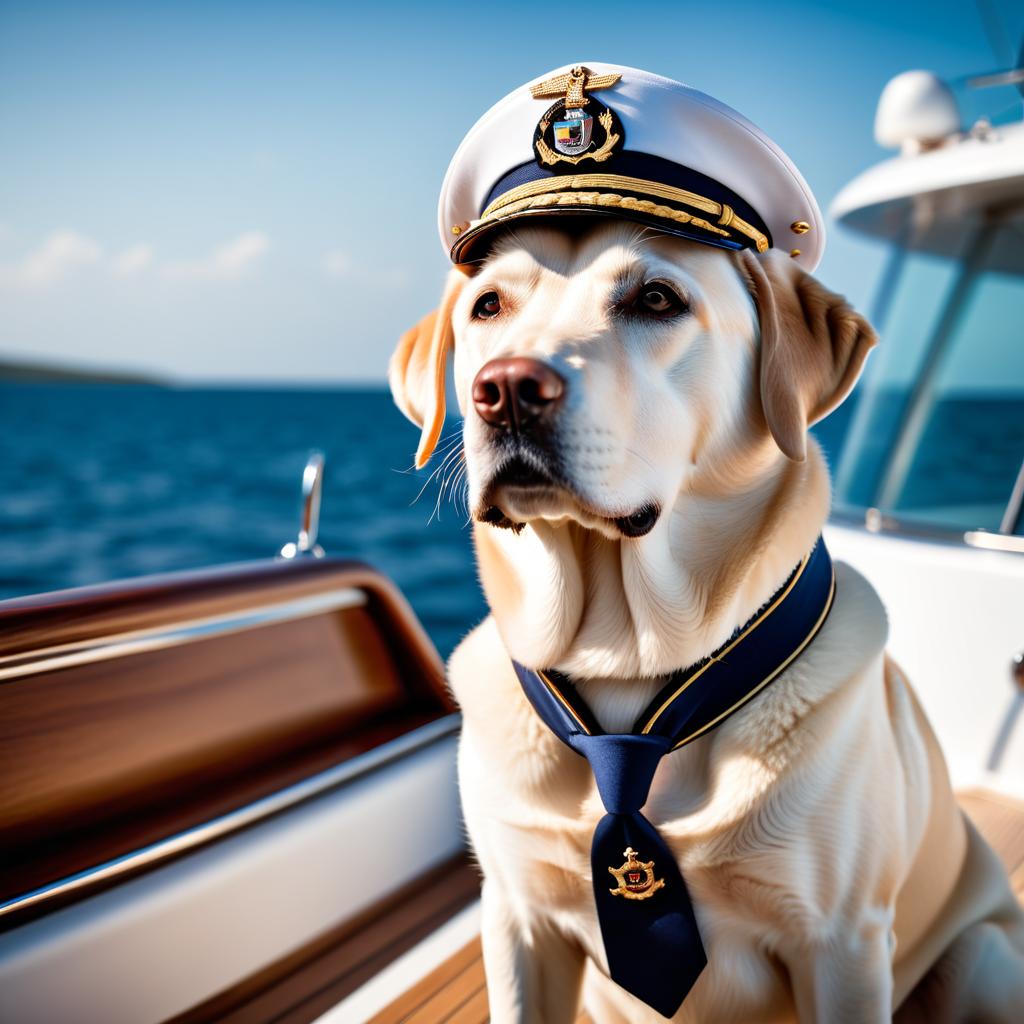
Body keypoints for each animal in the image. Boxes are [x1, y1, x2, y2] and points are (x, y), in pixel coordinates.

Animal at [387, 220, 1019, 1019]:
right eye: (488, 305)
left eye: (657, 298)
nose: (503, 391)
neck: (628, 671)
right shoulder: (518, 917)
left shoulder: (842, 942)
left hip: (980, 955)